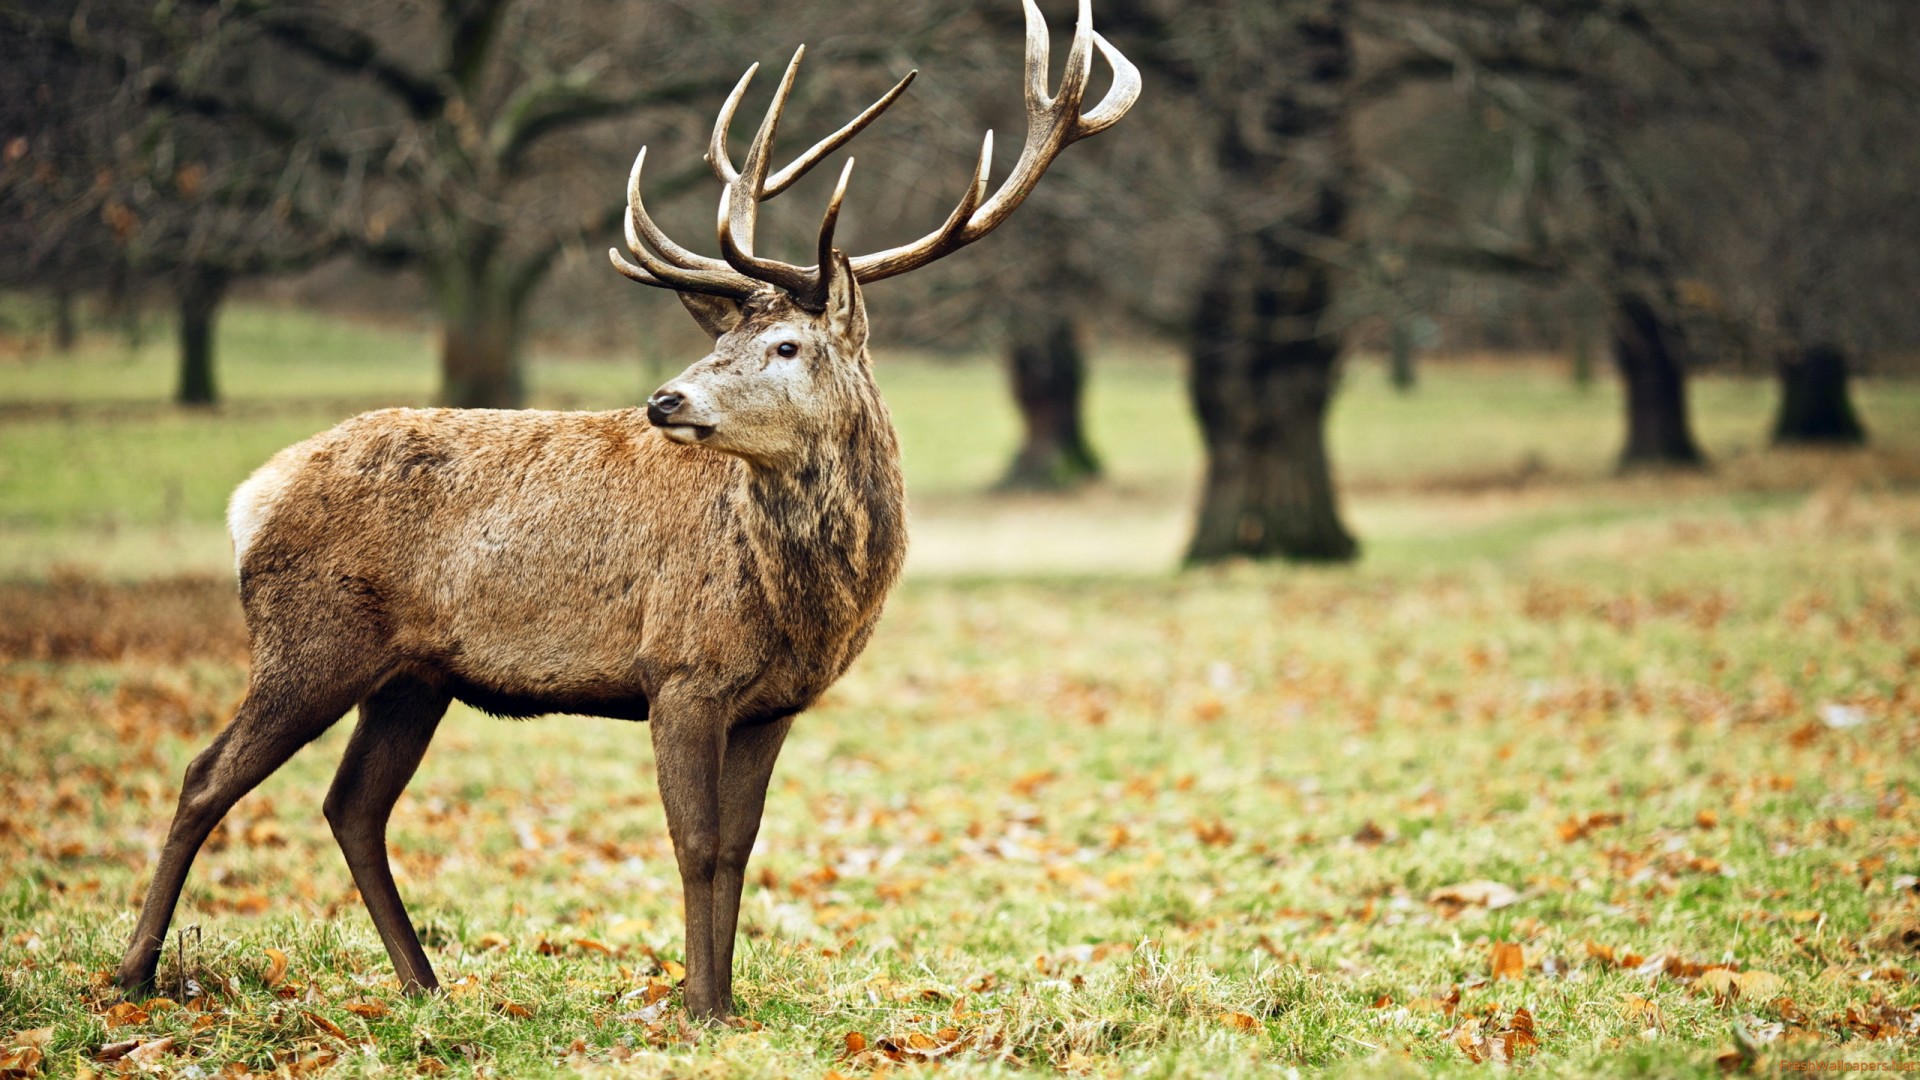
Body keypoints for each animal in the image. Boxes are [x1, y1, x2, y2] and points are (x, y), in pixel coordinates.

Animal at [112, 0, 1128, 1014]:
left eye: (788, 345)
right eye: (725, 341)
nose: (665, 399)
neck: (802, 605)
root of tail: (250, 497)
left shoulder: (773, 703)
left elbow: (741, 847)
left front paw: (725, 1003)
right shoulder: (679, 669)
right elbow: (696, 844)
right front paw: (699, 1006)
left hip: (414, 676)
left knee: (351, 804)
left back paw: (426, 986)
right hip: (311, 638)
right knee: (207, 776)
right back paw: (134, 974)